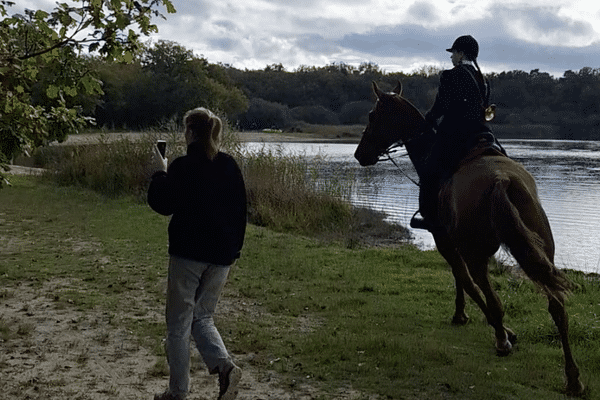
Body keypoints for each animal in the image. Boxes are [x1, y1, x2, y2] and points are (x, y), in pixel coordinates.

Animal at [354, 81, 584, 396]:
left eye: (372, 115)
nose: (359, 154)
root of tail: (502, 180)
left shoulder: (443, 239)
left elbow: (464, 280)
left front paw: (498, 330)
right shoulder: (453, 242)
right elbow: (460, 279)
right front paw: (463, 315)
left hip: (478, 254)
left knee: (492, 297)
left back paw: (502, 340)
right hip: (542, 253)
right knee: (557, 307)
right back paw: (573, 379)